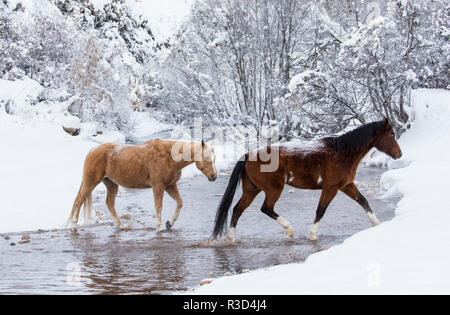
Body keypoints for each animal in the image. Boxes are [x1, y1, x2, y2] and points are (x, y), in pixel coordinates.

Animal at [66, 139, 218, 233]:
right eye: (207, 158)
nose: (214, 176)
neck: (169, 156)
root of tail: (92, 150)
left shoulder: (170, 186)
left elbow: (180, 203)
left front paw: (169, 223)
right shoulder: (158, 186)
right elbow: (158, 206)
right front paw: (160, 227)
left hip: (111, 184)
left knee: (109, 203)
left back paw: (121, 226)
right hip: (90, 183)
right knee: (79, 201)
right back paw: (73, 226)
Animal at [213, 118, 402, 242]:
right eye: (391, 134)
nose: (399, 154)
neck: (342, 153)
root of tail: (248, 155)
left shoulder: (347, 185)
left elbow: (363, 201)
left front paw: (377, 223)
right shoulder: (331, 188)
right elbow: (321, 210)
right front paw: (312, 235)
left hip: (252, 189)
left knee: (237, 210)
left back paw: (230, 238)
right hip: (273, 189)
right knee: (266, 208)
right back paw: (289, 229)